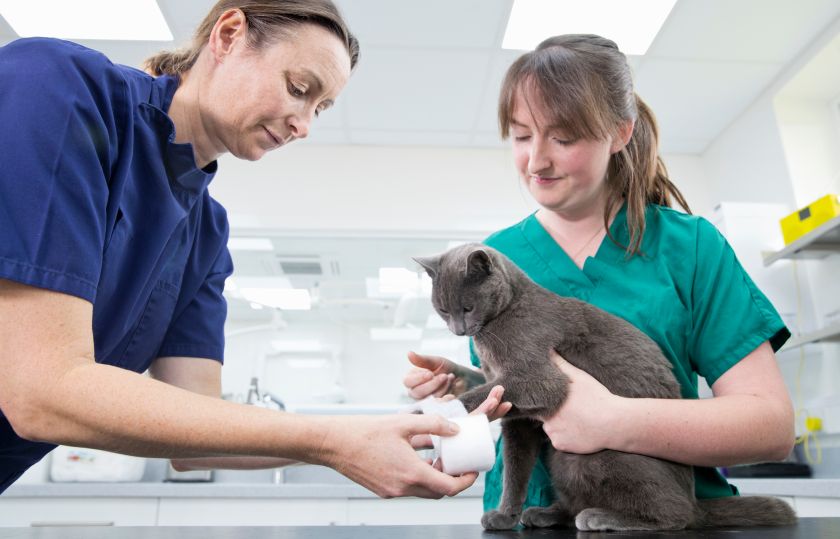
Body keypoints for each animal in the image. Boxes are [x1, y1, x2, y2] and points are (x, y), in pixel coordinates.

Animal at [416, 245, 796, 532]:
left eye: (467, 307)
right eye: (443, 310)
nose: (457, 329)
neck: (504, 315)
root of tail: (696, 500)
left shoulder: (538, 377)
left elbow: (497, 396)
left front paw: (434, 411)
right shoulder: (519, 420)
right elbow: (515, 470)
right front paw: (505, 516)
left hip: (593, 457)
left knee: (676, 516)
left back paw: (600, 518)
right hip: (561, 461)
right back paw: (546, 513)